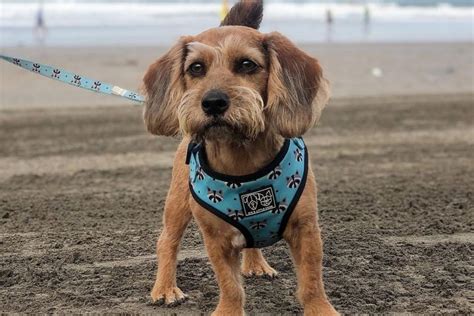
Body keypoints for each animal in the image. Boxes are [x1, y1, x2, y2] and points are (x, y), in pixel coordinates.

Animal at [143, 1, 336, 314]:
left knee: (251, 240)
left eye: (247, 64)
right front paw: (229, 310)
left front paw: (321, 309)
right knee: (166, 242)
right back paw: (165, 287)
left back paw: (256, 264)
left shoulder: (307, 230)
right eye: (196, 68)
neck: (242, 162)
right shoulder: (216, 240)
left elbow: (311, 282)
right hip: (177, 203)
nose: (212, 102)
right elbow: (230, 287)